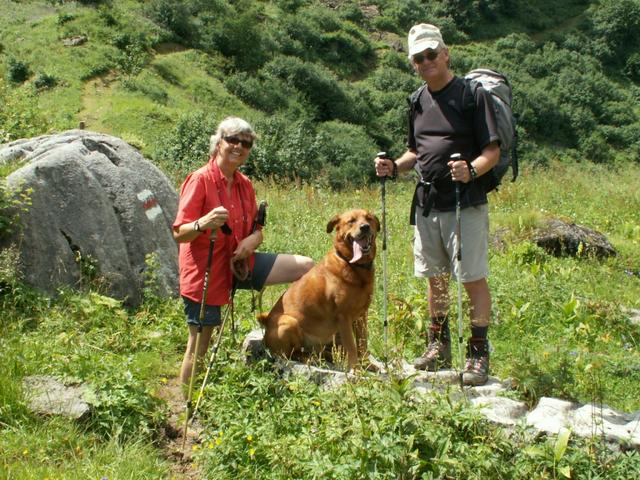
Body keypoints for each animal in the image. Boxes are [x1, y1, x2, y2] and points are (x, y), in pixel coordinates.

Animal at [256, 208, 380, 370]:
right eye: (351, 221)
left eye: (369, 218)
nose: (365, 227)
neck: (353, 266)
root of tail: (265, 321)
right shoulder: (344, 317)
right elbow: (352, 347)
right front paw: (357, 370)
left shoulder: (361, 315)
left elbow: (362, 343)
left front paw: (366, 365)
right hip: (289, 323)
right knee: (291, 355)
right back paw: (313, 360)